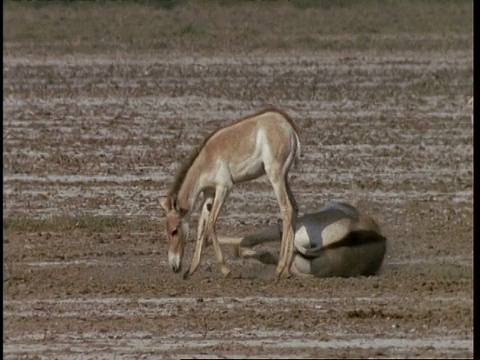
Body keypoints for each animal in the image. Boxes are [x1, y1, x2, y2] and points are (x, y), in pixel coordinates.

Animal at [161, 108, 300, 280]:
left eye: (174, 231)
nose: (174, 267)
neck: (205, 160)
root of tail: (287, 125)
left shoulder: (223, 188)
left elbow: (211, 223)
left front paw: (225, 269)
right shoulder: (209, 193)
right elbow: (201, 226)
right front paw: (191, 270)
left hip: (275, 176)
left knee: (286, 209)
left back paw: (280, 268)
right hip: (284, 177)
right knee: (295, 208)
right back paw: (287, 269)